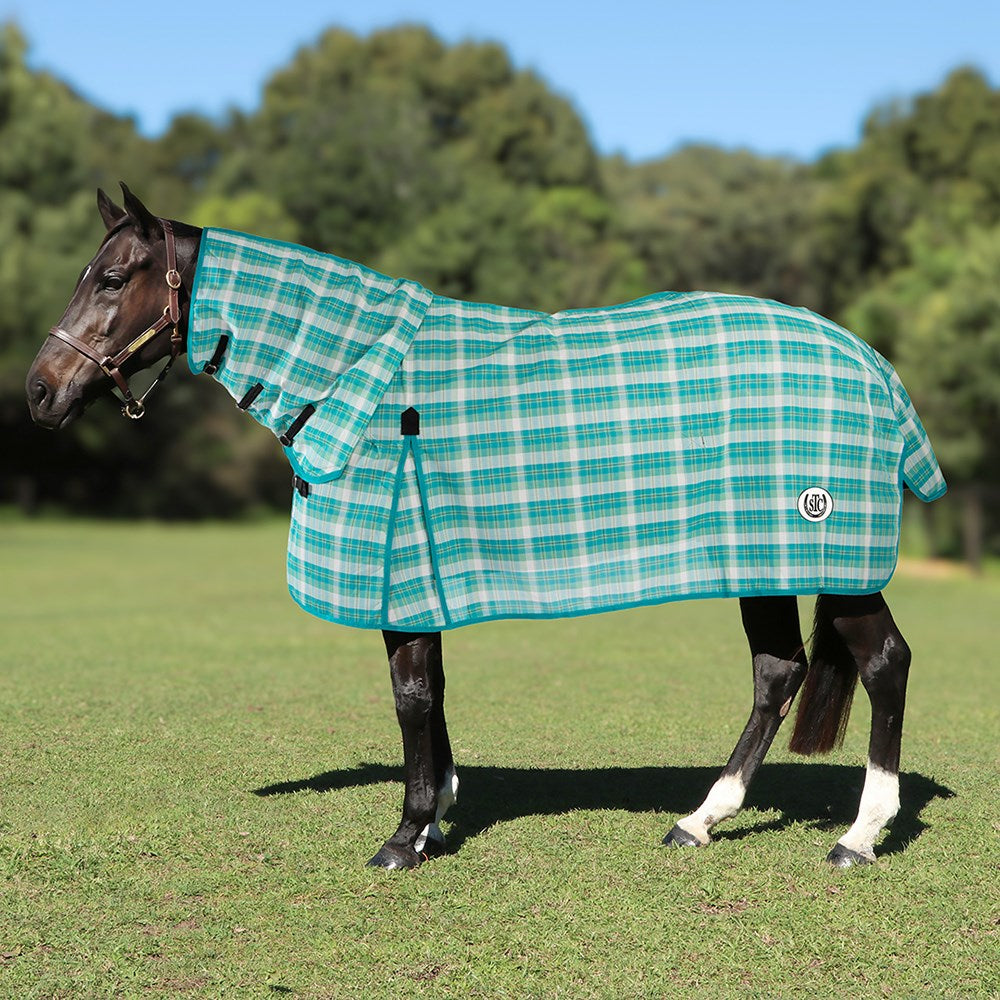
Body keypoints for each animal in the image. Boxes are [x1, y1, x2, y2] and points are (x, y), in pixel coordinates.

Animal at [26, 184, 946, 870]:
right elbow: (430, 694)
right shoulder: (418, 575)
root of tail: (875, 369)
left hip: (829, 555)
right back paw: (700, 819)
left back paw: (860, 835)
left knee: (884, 663)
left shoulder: (397, 571)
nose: (40, 391)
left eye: (115, 279)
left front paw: (406, 834)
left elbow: (410, 695)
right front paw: (435, 814)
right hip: (765, 558)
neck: (356, 375)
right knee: (778, 672)